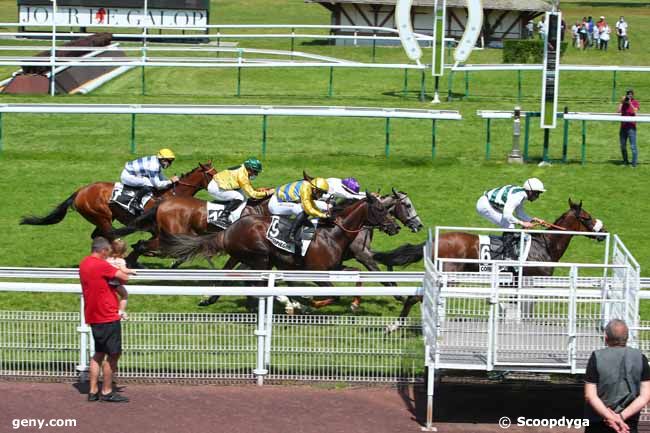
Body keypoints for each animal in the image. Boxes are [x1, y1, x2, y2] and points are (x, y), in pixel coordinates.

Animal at [18, 161, 213, 238]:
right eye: (212, 174)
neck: (172, 194)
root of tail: (80, 191)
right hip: (101, 215)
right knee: (111, 234)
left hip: (103, 217)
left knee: (99, 235)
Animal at [372, 199, 604, 324]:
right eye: (587, 217)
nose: (603, 231)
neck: (545, 245)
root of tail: (435, 240)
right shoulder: (532, 283)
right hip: (450, 276)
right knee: (417, 297)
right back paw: (395, 326)